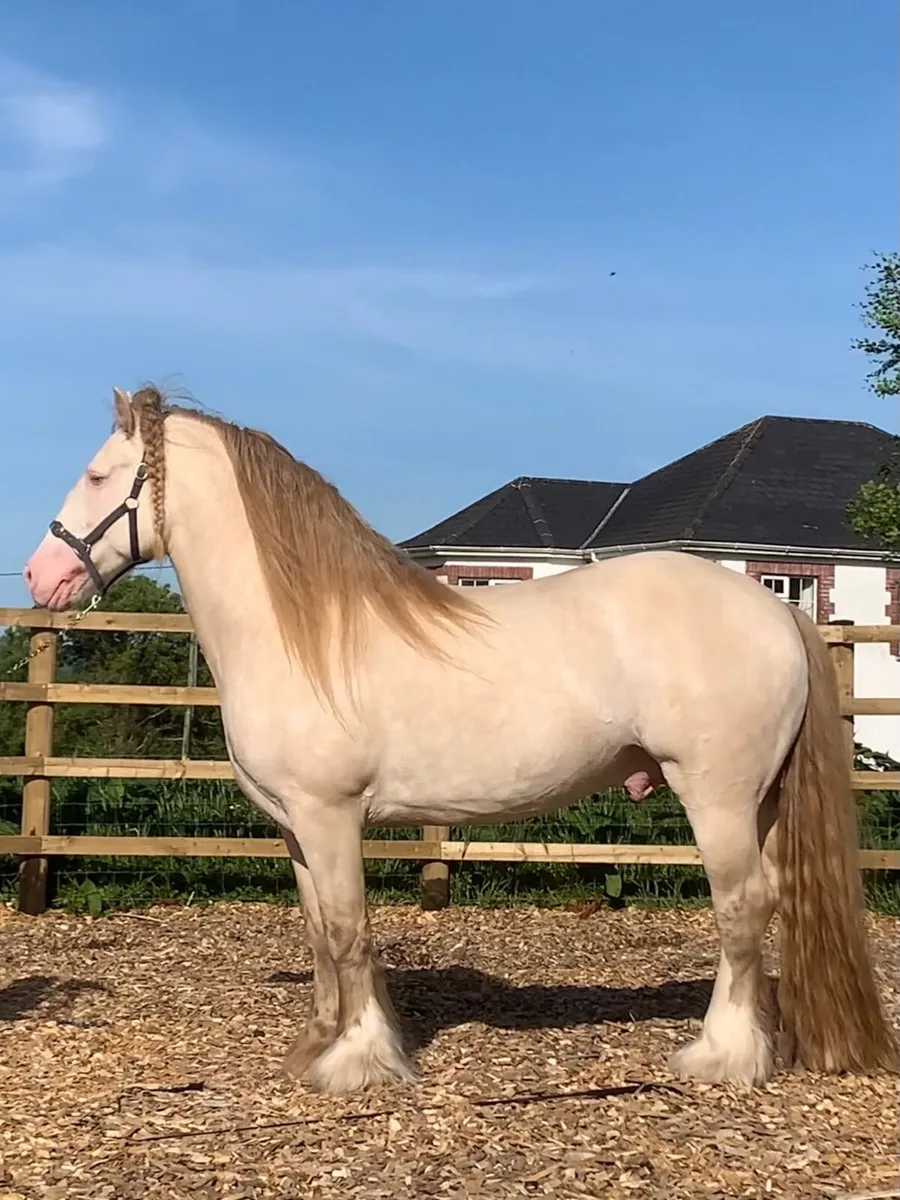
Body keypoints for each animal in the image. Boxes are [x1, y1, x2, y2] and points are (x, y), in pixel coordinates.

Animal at [22, 385, 898, 1094]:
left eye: (98, 475)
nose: (39, 576)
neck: (305, 633)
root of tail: (775, 607)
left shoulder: (330, 816)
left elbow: (348, 930)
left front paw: (359, 1063)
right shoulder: (297, 829)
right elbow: (320, 933)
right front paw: (320, 1044)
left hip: (715, 796)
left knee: (741, 907)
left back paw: (720, 1057)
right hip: (759, 802)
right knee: (766, 903)